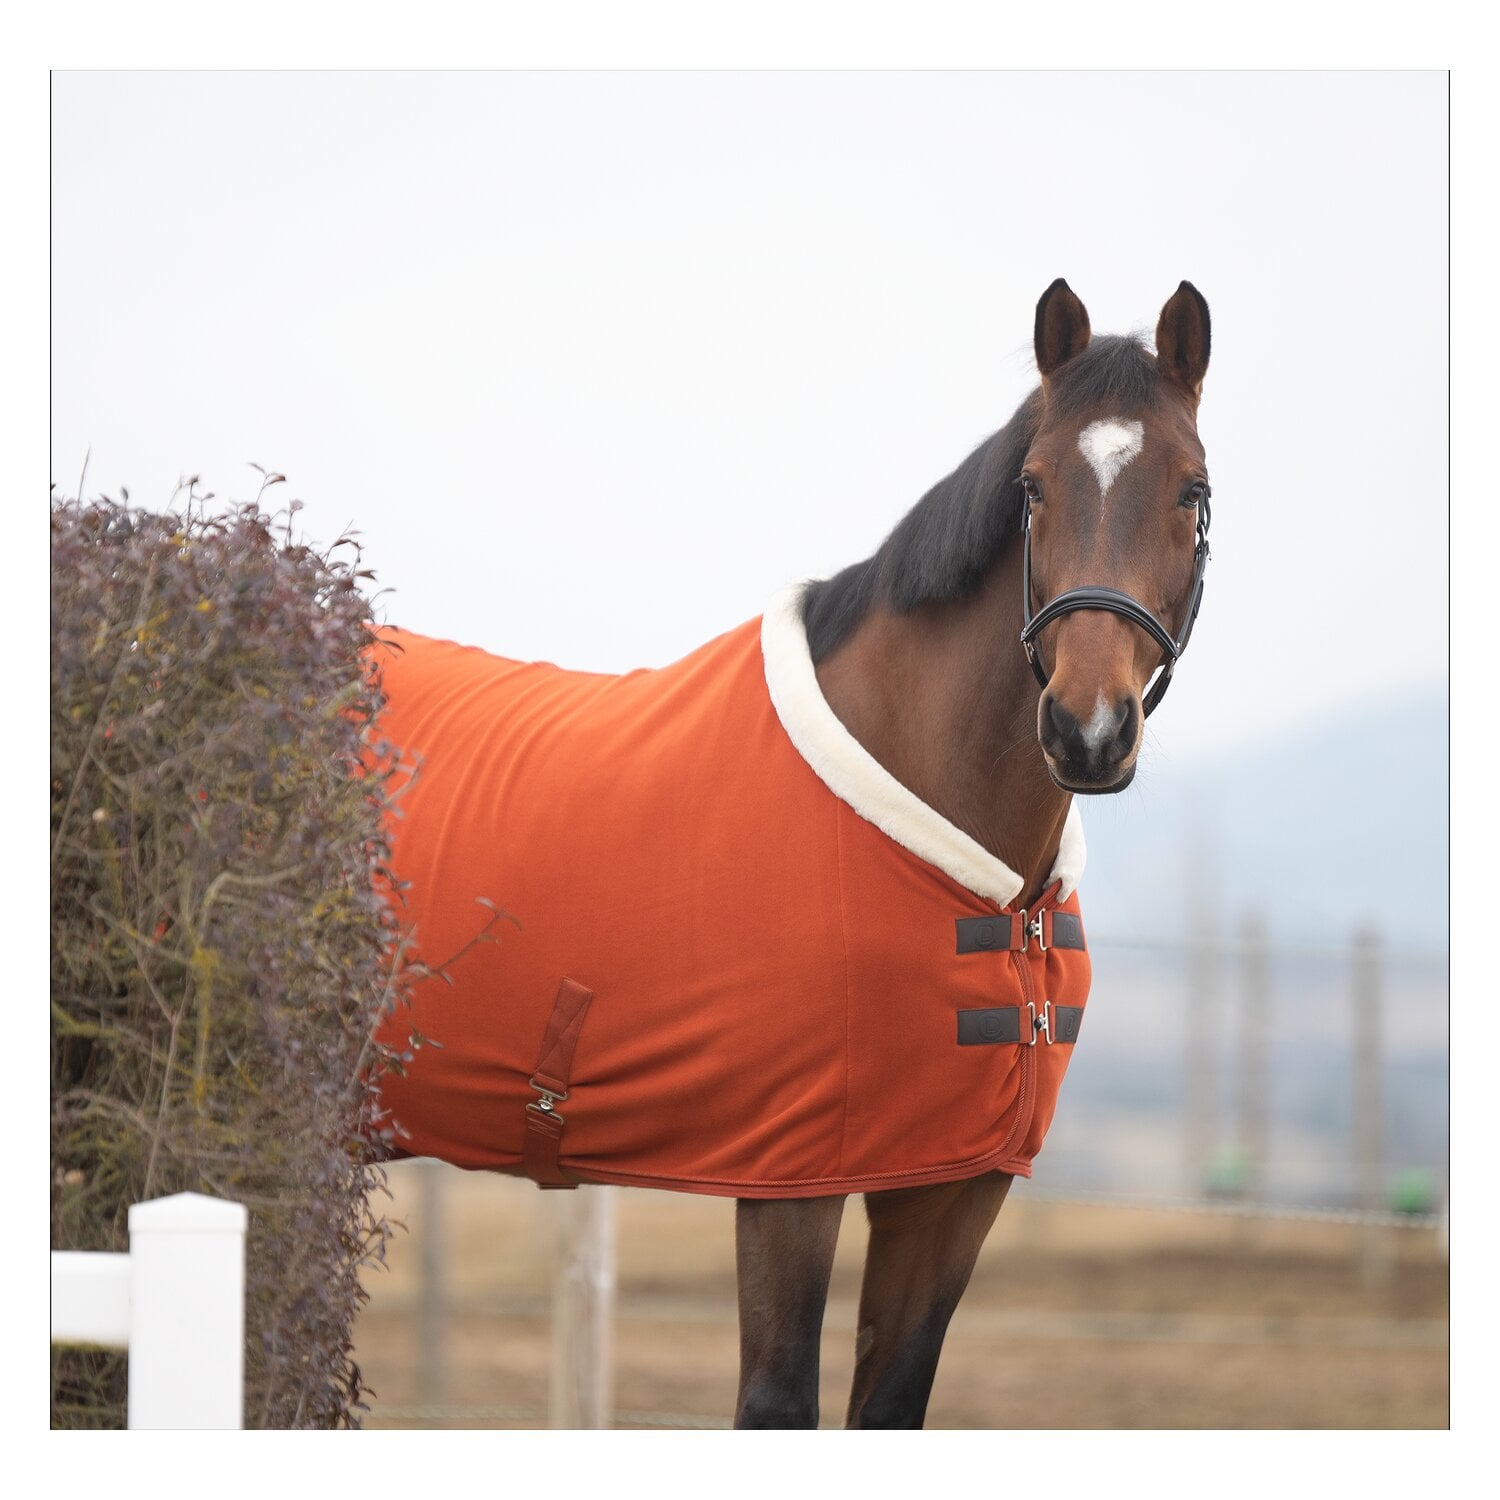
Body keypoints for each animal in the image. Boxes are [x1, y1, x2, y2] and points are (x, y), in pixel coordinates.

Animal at [367, 278, 1213, 1429]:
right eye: (1033, 489)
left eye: (1191, 492)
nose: (1088, 729)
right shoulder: (789, 1182)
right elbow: (776, 1401)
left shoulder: (955, 1190)